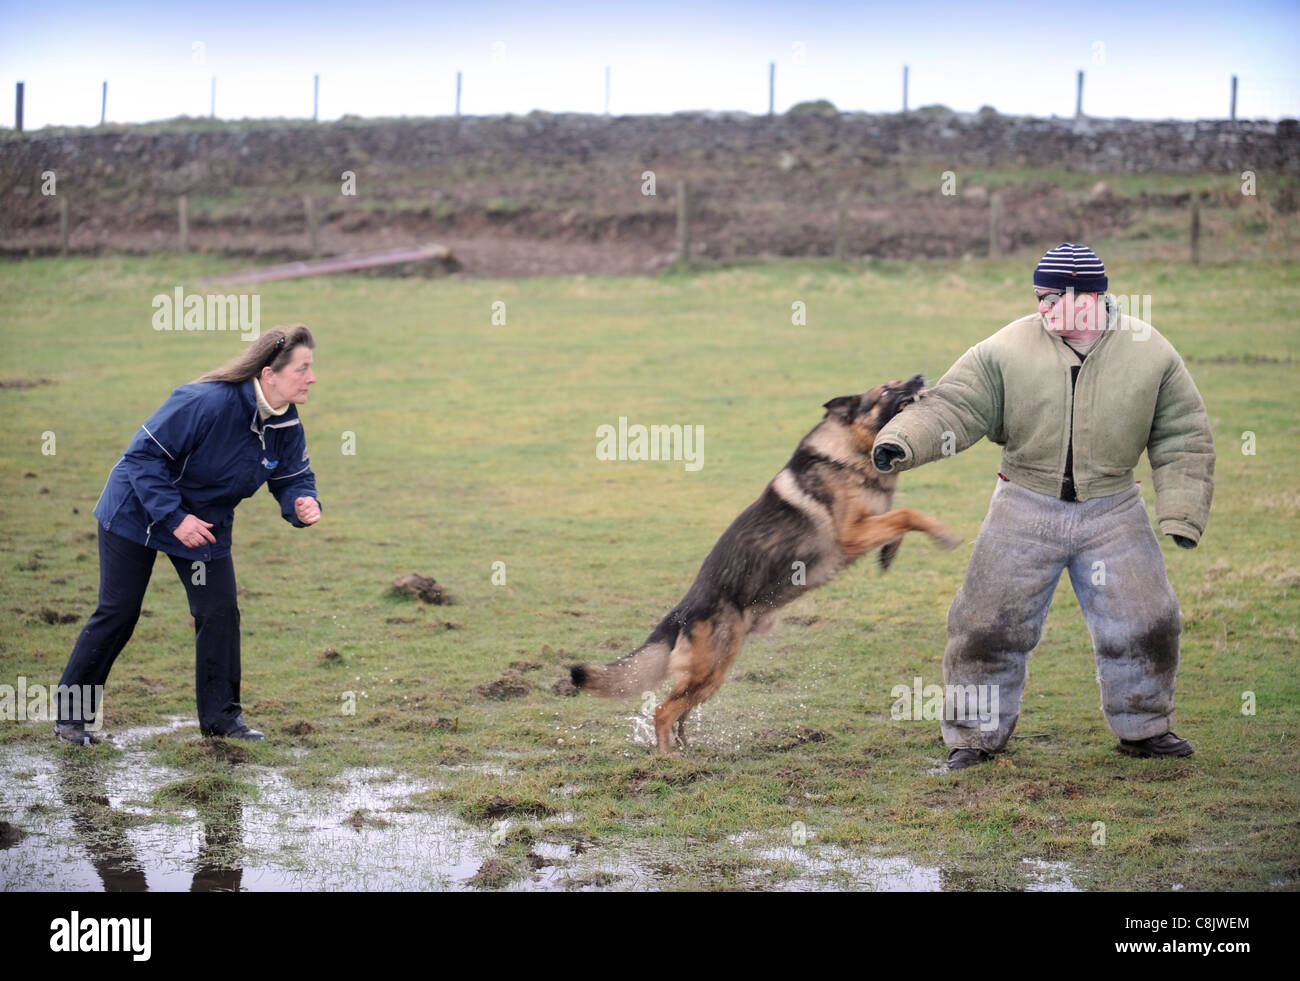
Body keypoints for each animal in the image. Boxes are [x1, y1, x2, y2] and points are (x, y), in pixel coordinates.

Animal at [569, 374, 956, 753]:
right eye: (888, 388)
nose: (919, 376)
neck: (848, 449)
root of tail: (682, 610)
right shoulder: (852, 534)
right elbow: (907, 513)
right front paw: (943, 534)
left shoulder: (873, 520)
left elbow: (899, 518)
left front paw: (889, 554)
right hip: (711, 669)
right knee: (664, 710)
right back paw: (669, 758)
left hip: (710, 675)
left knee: (679, 712)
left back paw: (687, 749)